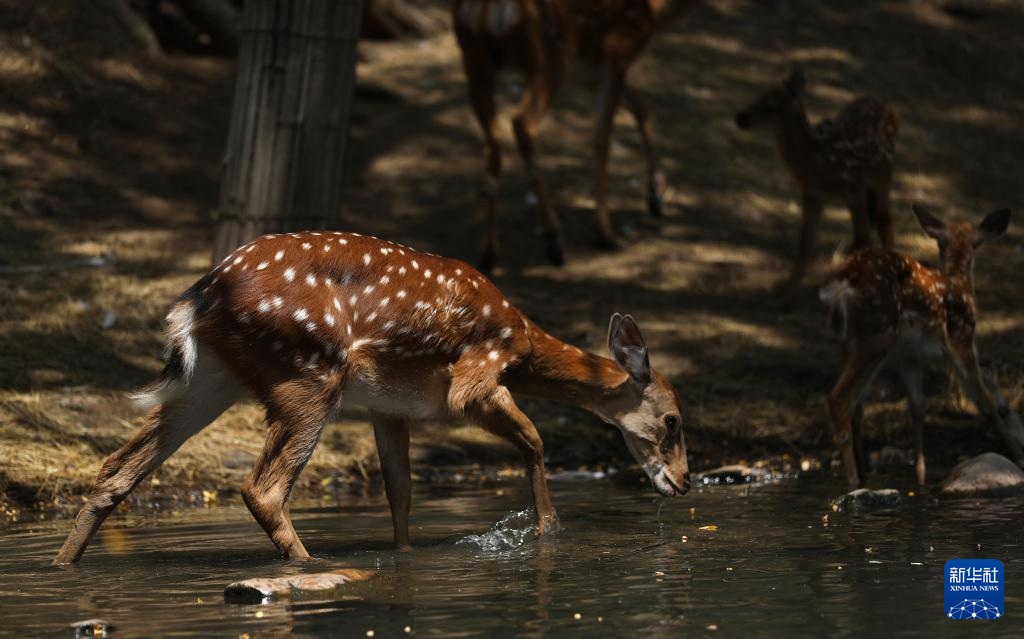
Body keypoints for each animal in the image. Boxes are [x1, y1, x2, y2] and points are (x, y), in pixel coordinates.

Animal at [53, 231, 690, 564]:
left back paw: (65, 565)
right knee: (262, 487)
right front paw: (547, 532)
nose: (683, 483)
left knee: (116, 467)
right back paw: (310, 565)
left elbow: (400, 492)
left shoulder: (390, 407)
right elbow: (534, 440)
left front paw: (405, 556)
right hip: (310, 373)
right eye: (673, 421)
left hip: (212, 379)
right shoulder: (474, 376)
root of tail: (197, 298)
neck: (524, 340)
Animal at [452, 0, 702, 271]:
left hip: (474, 58)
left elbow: (641, 107)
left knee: (493, 140)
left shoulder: (587, 71)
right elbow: (602, 138)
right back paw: (553, 239)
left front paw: (656, 194)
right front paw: (604, 233)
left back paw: (488, 254)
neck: (656, 14)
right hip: (548, 58)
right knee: (521, 123)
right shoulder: (616, 56)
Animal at [735, 67, 898, 295]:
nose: (740, 118)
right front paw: (788, 286)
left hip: (884, 174)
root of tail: (880, 103)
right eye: (760, 96)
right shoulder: (813, 194)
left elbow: (863, 237)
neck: (820, 164)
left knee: (884, 220)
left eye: (769, 105)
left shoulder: (854, 187)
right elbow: (806, 241)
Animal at [820, 204, 1024, 489]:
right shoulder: (961, 340)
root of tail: (842, 282)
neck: (959, 281)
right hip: (877, 334)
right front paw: (1017, 455)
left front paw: (920, 478)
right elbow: (985, 401)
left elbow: (917, 405)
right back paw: (853, 481)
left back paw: (862, 474)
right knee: (839, 398)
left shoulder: (911, 358)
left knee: (856, 404)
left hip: (853, 342)